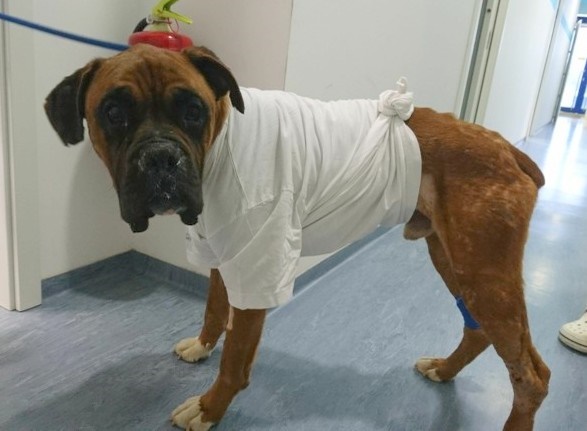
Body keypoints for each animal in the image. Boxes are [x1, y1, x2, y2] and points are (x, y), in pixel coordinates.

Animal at [45, 44, 550, 431]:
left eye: (193, 111)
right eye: (113, 113)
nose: (161, 158)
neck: (220, 143)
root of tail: (507, 148)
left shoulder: (257, 269)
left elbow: (235, 360)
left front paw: (209, 409)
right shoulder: (225, 253)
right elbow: (214, 307)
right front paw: (203, 346)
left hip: (485, 274)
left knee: (532, 373)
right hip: (454, 260)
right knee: (480, 332)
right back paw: (444, 369)